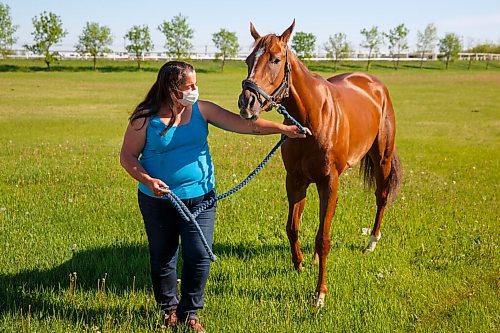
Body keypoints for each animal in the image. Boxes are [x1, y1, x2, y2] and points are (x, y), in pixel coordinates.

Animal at [237, 21, 402, 306]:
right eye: (248, 60)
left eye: (276, 59)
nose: (247, 103)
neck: (310, 119)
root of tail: (375, 84)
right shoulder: (295, 180)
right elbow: (293, 227)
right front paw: (300, 264)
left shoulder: (329, 181)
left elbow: (323, 239)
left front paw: (319, 294)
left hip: (381, 159)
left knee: (381, 197)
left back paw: (371, 242)